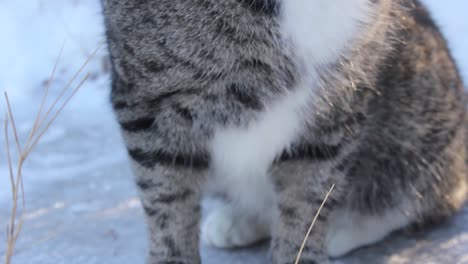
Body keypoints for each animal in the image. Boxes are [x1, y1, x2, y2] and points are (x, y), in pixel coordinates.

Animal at [100, 0, 466, 262]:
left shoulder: (335, 106)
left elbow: (306, 204)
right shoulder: (149, 106)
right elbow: (167, 207)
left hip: (420, 100)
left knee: (422, 194)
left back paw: (344, 229)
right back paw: (240, 220)